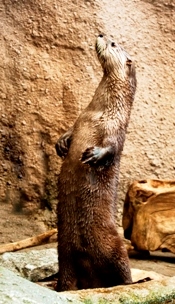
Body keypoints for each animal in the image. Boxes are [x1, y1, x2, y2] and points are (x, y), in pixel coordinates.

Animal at [55, 33, 136, 292]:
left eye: (113, 44)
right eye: (110, 38)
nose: (101, 33)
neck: (99, 112)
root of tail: (94, 280)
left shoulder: (116, 128)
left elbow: (111, 148)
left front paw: (93, 155)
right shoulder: (80, 119)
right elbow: (70, 131)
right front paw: (62, 144)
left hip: (115, 245)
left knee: (124, 271)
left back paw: (130, 283)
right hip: (64, 250)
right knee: (67, 273)